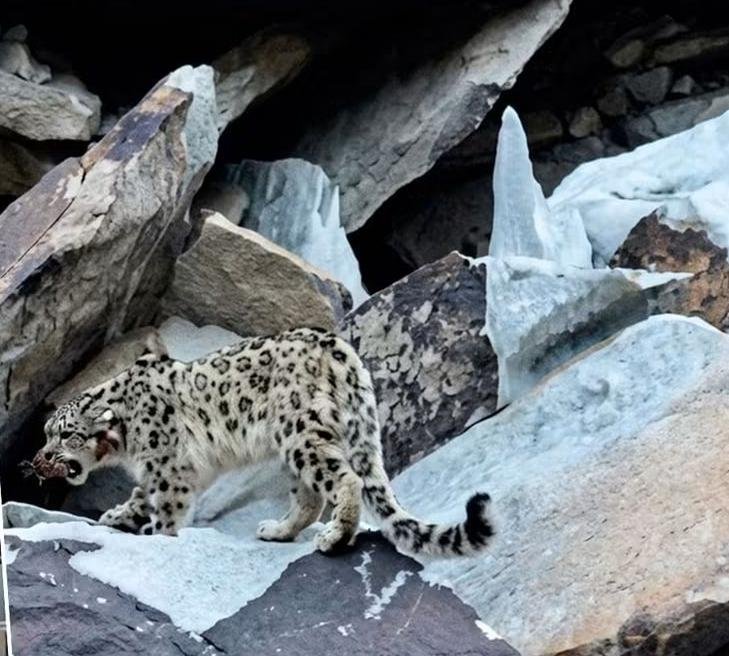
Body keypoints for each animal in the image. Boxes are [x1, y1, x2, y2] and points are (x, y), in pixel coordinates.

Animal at [31, 327, 494, 556]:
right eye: (47, 433)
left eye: (65, 434)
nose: (41, 459)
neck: (127, 443)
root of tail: (341, 349)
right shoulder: (160, 469)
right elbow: (140, 495)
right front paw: (117, 516)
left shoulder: (169, 466)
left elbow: (167, 508)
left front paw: (159, 536)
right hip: (299, 444)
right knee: (310, 497)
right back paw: (277, 530)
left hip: (301, 432)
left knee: (345, 480)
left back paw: (334, 538)